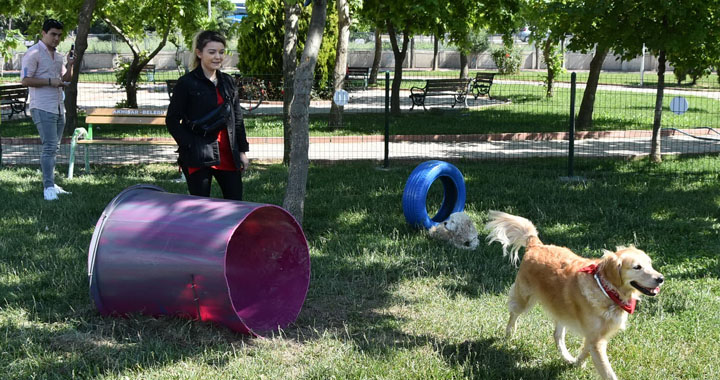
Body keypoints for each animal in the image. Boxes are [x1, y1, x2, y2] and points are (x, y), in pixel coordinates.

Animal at [484, 211, 664, 380]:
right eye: (637, 267)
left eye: (650, 264)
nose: (661, 278)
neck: (607, 290)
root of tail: (536, 245)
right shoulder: (596, 340)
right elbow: (607, 372)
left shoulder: (594, 337)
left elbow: (585, 351)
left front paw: (576, 363)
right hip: (524, 299)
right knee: (513, 314)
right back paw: (509, 334)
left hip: (561, 309)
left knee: (557, 335)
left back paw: (567, 357)